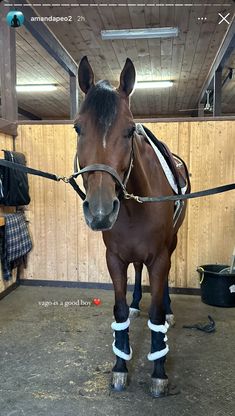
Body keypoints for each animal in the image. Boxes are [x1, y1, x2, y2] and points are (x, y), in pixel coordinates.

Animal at [75, 55, 191, 396]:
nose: (100, 211)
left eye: (128, 131)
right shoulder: (114, 258)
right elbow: (120, 311)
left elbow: (156, 313)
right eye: (77, 127)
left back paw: (168, 311)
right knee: (137, 272)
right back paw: (139, 300)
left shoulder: (160, 257)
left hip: (172, 244)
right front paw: (120, 365)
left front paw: (159, 371)